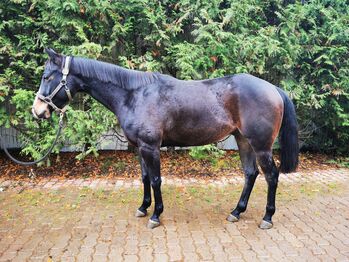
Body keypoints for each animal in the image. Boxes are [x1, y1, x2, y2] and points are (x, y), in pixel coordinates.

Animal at [32, 49, 298, 229]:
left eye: (47, 77)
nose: (37, 110)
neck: (134, 95)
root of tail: (274, 89)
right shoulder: (140, 148)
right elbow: (144, 178)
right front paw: (143, 208)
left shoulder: (151, 147)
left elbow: (156, 180)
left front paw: (156, 215)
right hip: (244, 141)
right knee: (250, 174)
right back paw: (236, 211)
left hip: (261, 146)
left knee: (271, 176)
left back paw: (267, 217)